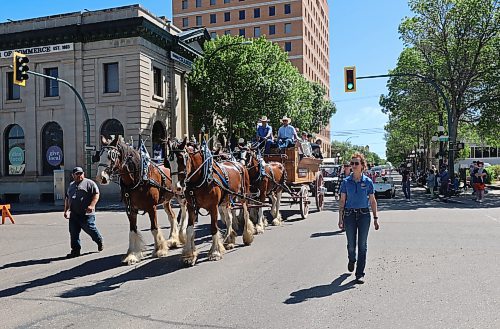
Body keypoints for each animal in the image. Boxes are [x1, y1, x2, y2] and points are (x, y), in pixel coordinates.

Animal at [95, 135, 188, 266]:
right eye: (100, 155)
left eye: (111, 156)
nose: (101, 177)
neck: (137, 178)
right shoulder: (130, 209)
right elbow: (132, 230)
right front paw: (132, 255)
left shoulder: (151, 207)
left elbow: (154, 228)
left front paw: (159, 250)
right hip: (166, 200)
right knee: (172, 216)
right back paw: (173, 239)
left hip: (180, 194)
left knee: (184, 211)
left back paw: (182, 235)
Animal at [167, 137, 254, 266]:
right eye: (168, 161)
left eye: (182, 159)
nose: (176, 187)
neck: (200, 179)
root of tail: (239, 164)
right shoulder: (191, 207)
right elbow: (189, 229)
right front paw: (189, 255)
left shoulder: (213, 207)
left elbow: (214, 228)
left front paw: (215, 252)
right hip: (226, 200)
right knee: (229, 218)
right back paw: (229, 240)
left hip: (243, 196)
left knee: (246, 213)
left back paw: (247, 236)